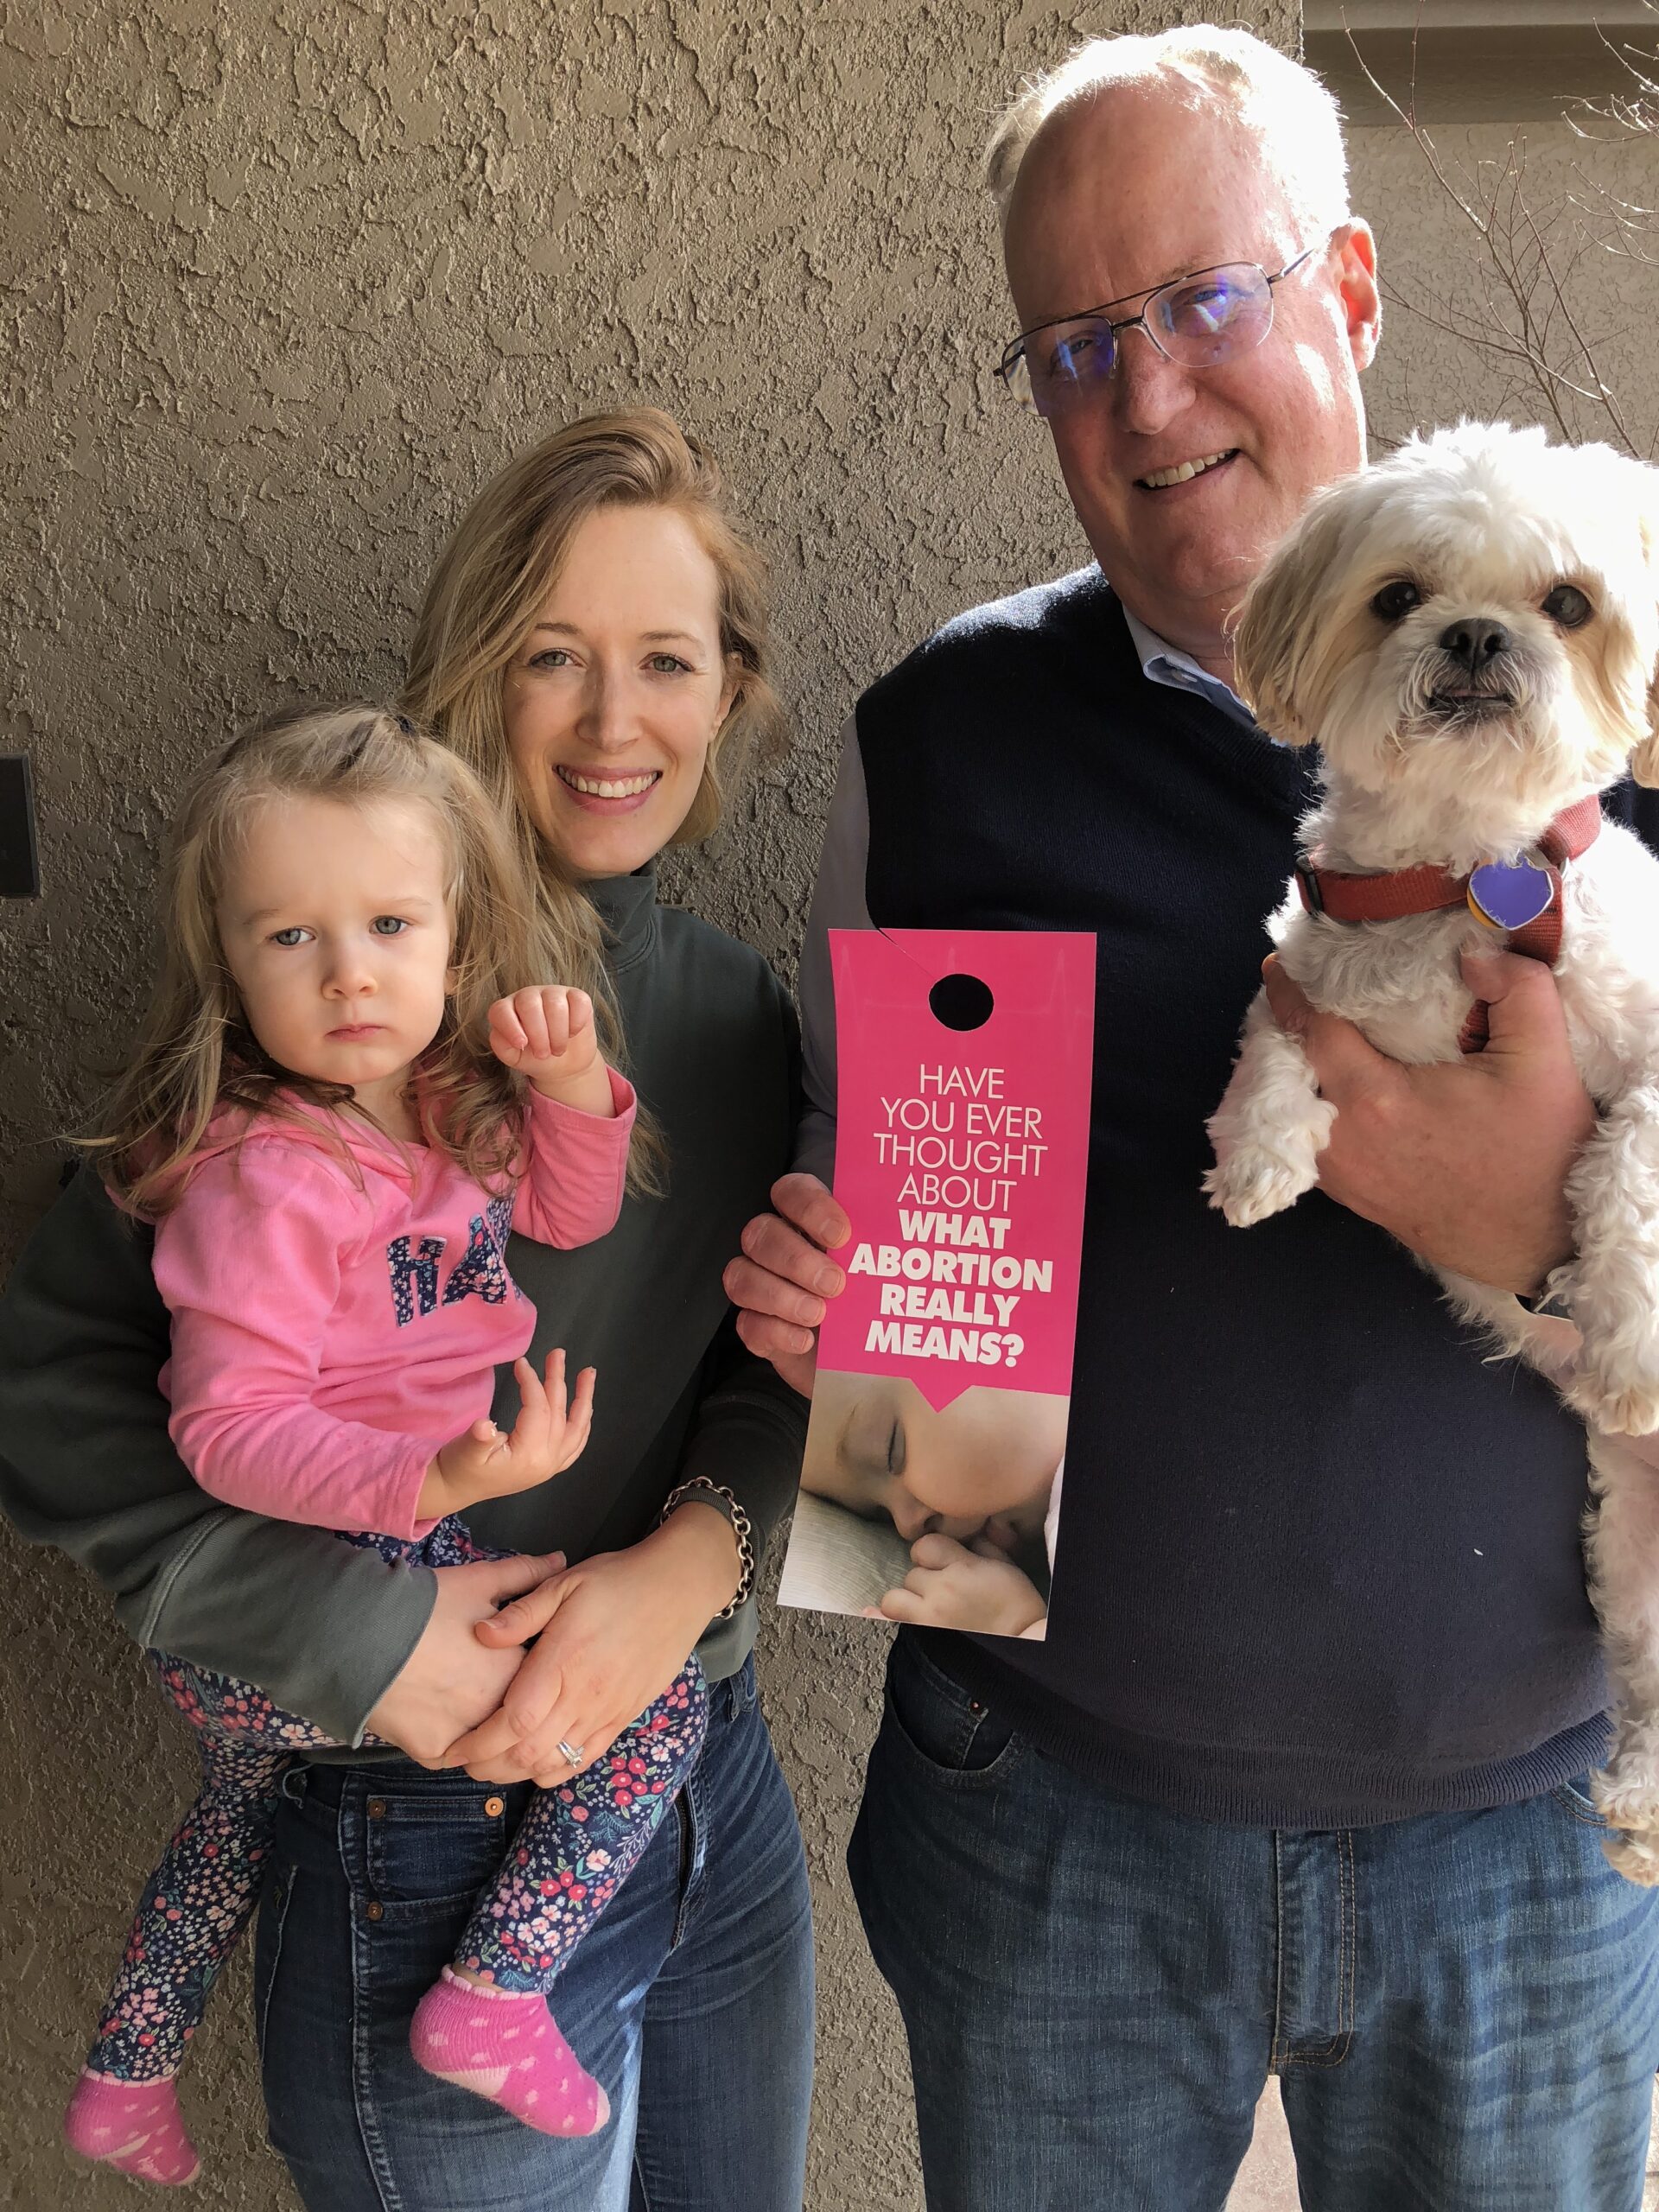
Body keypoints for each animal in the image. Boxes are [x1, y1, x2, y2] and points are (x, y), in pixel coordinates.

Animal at [1202, 420, 1659, 1877]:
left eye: (1567, 603)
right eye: (1400, 594)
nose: (1471, 635)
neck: (1464, 885)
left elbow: (1627, 1165)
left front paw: (1628, 1344)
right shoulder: (1315, 963)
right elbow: (1273, 1033)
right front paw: (1262, 1152)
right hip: (1639, 1566)